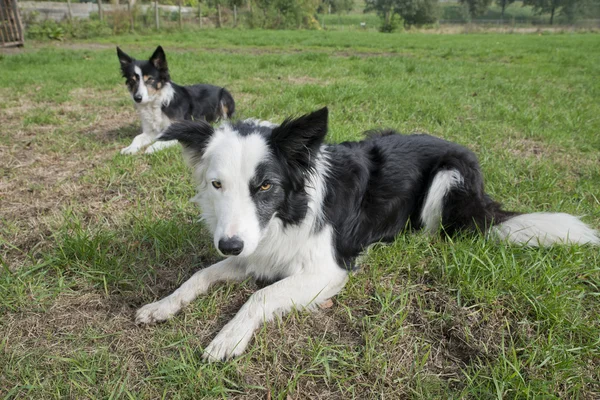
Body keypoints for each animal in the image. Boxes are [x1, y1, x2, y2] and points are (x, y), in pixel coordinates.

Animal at [134, 108, 596, 360]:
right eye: (216, 185)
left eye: (265, 185)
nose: (229, 244)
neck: (289, 211)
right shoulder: (256, 250)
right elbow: (201, 275)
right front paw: (161, 305)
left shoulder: (326, 270)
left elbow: (260, 296)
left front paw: (228, 337)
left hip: (447, 177)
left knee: (440, 232)